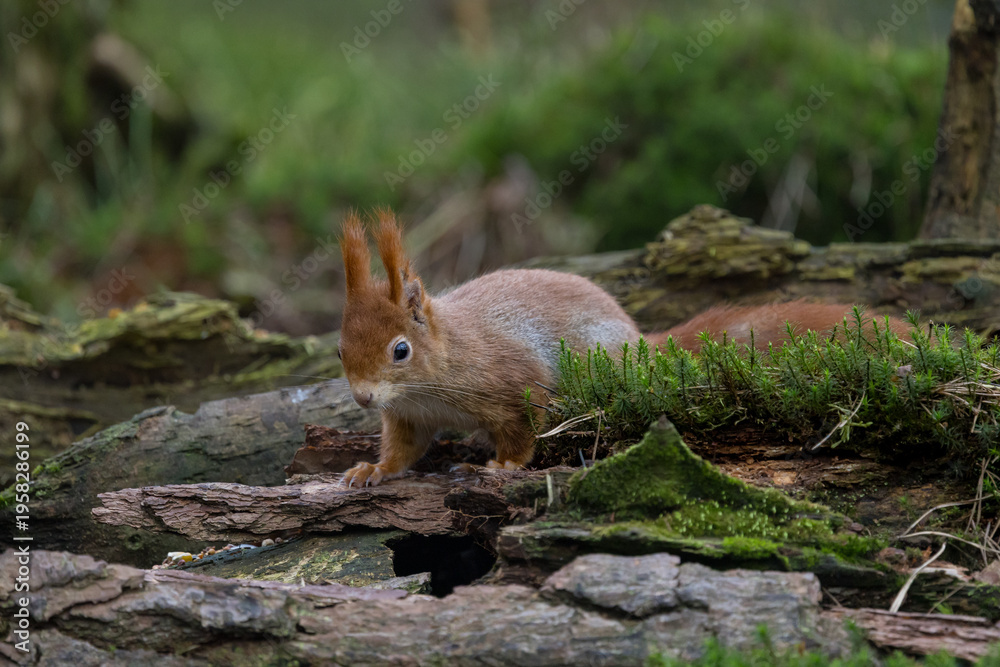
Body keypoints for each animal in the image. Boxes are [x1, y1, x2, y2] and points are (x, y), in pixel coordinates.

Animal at [338, 210, 909, 487]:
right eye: (341, 351)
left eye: (400, 351)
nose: (364, 399)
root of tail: (639, 339)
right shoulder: (408, 417)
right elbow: (403, 450)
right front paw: (373, 471)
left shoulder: (510, 379)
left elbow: (524, 428)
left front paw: (502, 466)